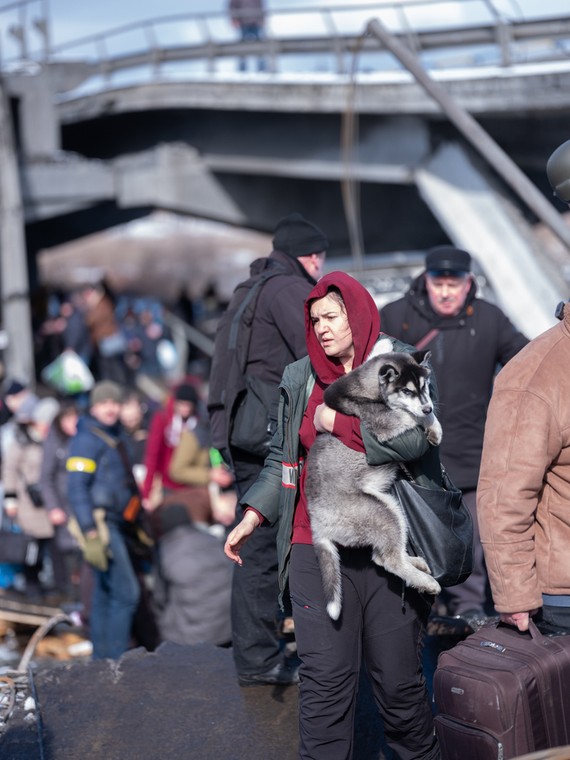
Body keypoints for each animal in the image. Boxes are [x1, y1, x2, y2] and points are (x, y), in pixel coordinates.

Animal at [304, 344, 442, 616]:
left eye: (424, 387)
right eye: (407, 391)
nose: (428, 408)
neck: (367, 388)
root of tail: (318, 525)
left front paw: (382, 345)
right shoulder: (382, 421)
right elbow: (406, 414)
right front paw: (430, 422)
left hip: (389, 509)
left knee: (381, 556)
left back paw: (416, 563)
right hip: (383, 513)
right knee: (389, 559)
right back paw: (426, 582)